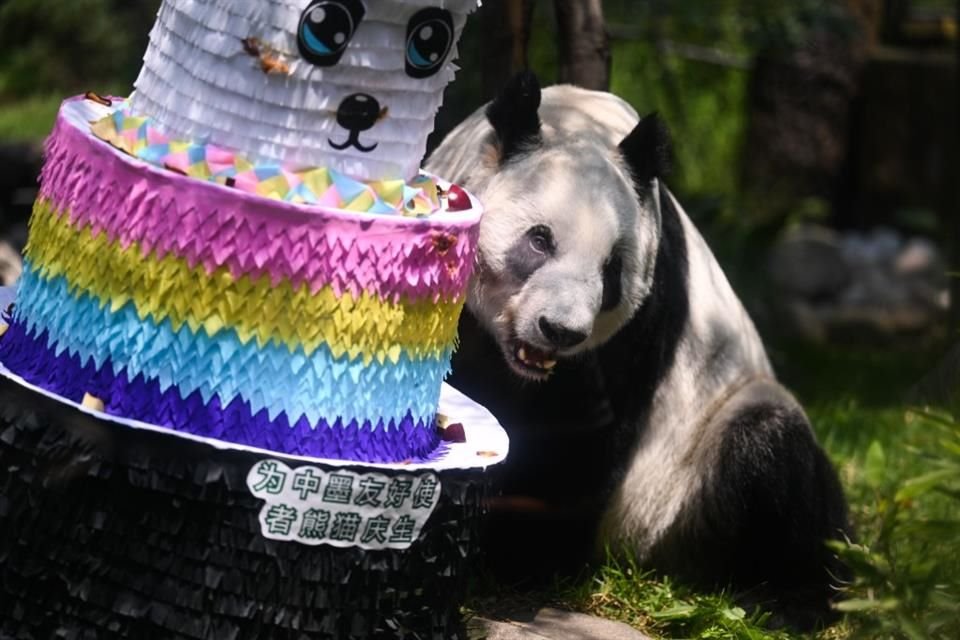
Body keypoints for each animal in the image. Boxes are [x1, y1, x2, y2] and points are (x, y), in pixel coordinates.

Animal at [425, 72, 851, 630]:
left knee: (772, 451)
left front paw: (515, 558)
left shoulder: (641, 317)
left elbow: (580, 440)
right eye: (540, 240)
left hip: (687, 477)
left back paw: (793, 599)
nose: (559, 330)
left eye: (611, 269)